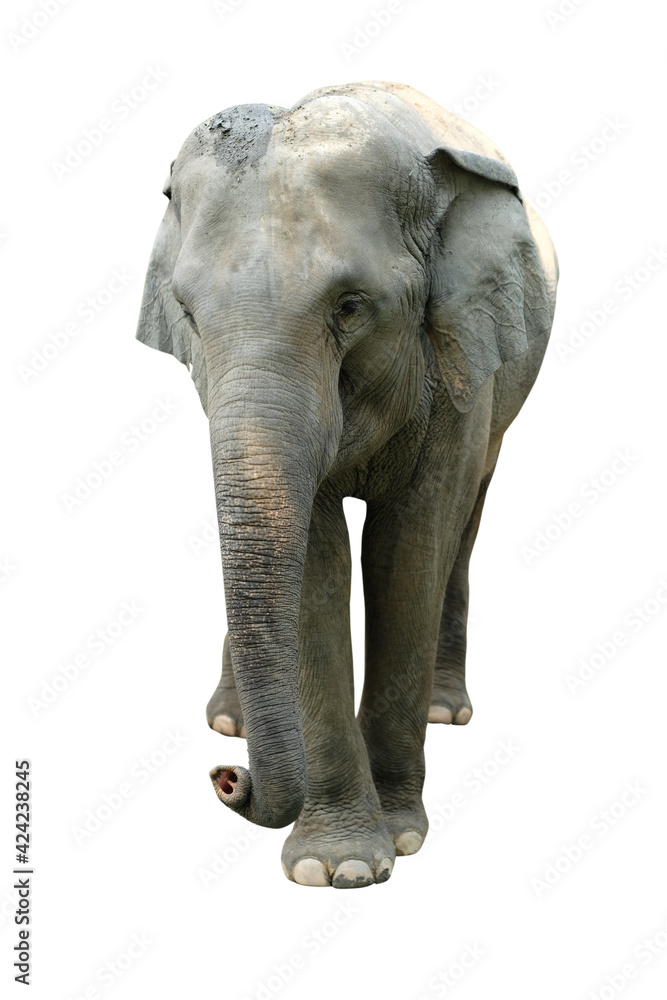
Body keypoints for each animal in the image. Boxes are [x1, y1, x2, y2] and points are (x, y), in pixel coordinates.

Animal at [136, 80, 558, 888]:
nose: (226, 778)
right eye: (188, 315)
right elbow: (317, 559)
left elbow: (405, 549)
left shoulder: (458, 362)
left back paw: (444, 711)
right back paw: (229, 720)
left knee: (465, 519)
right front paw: (333, 866)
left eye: (351, 307)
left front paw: (393, 842)